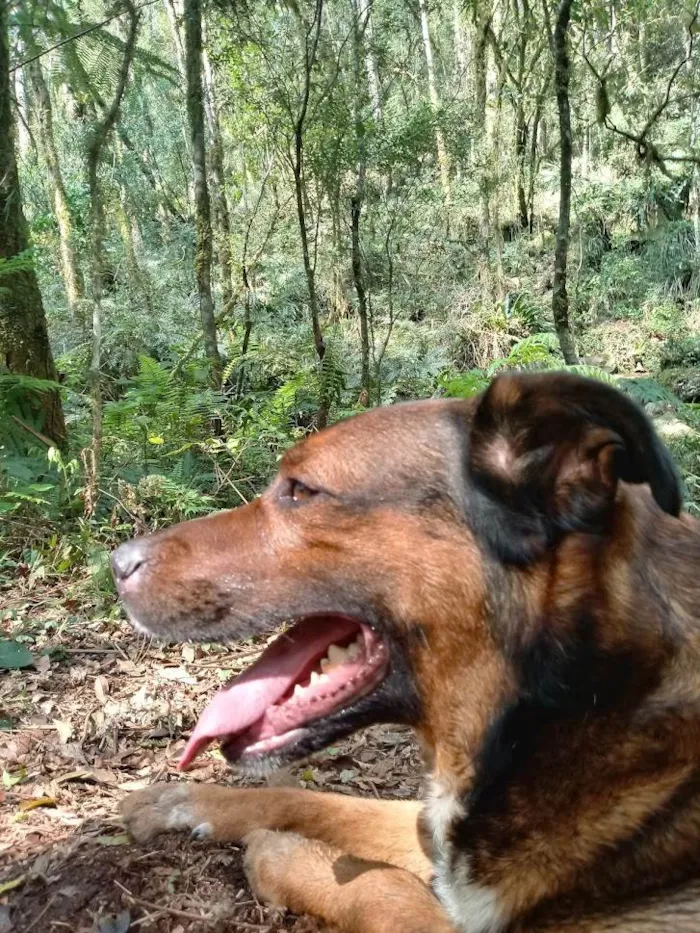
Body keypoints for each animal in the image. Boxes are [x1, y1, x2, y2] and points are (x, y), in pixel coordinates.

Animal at [110, 374, 700, 932]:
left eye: (300, 491)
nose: (115, 564)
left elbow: (382, 888)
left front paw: (284, 852)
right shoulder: (430, 831)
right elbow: (315, 801)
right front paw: (181, 802)